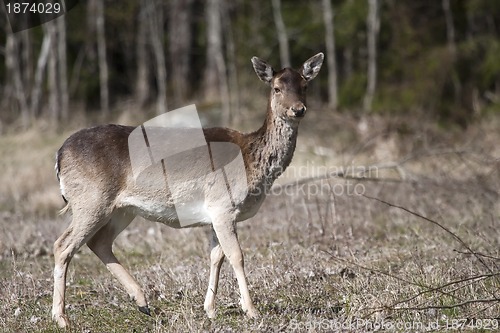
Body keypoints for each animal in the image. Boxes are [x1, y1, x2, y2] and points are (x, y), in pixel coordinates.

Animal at [51, 52, 324, 326]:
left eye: (305, 85)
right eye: (276, 88)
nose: (298, 109)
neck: (252, 163)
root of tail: (60, 154)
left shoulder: (216, 212)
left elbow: (216, 256)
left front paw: (210, 309)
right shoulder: (223, 204)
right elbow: (236, 256)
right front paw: (251, 310)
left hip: (122, 209)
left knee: (99, 242)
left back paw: (142, 302)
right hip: (90, 199)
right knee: (63, 245)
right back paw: (61, 318)